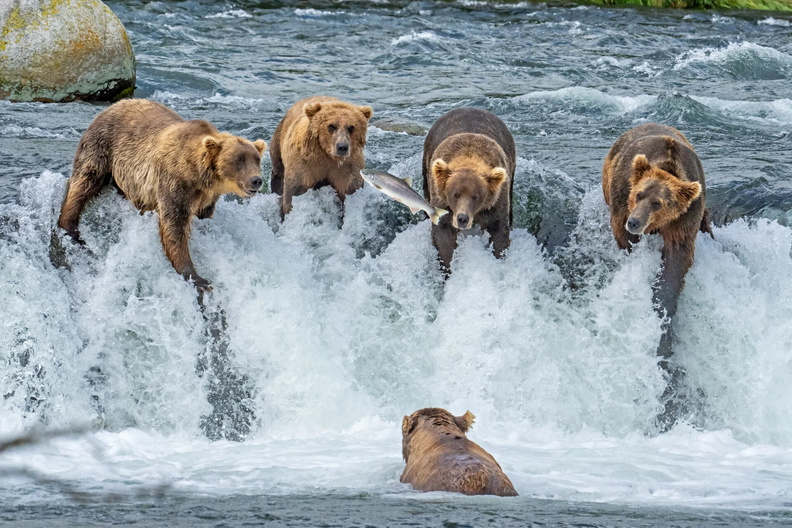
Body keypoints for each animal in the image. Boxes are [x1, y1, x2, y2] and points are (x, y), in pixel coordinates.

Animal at [57, 99, 267, 292]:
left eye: (256, 159)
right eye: (239, 160)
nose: (256, 180)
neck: (200, 177)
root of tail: (112, 105)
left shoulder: (207, 197)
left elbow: (202, 215)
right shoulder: (175, 183)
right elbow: (174, 227)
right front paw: (196, 276)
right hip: (102, 147)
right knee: (84, 183)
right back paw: (71, 228)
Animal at [422, 108, 516, 273]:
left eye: (476, 196)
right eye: (455, 194)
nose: (462, 218)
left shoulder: (495, 203)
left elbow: (499, 231)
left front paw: (497, 258)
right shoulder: (443, 203)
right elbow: (442, 234)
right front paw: (447, 266)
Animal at [602, 123, 713, 429]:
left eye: (658, 203)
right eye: (639, 194)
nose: (635, 221)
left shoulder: (683, 219)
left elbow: (677, 261)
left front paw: (664, 296)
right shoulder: (622, 197)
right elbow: (623, 236)